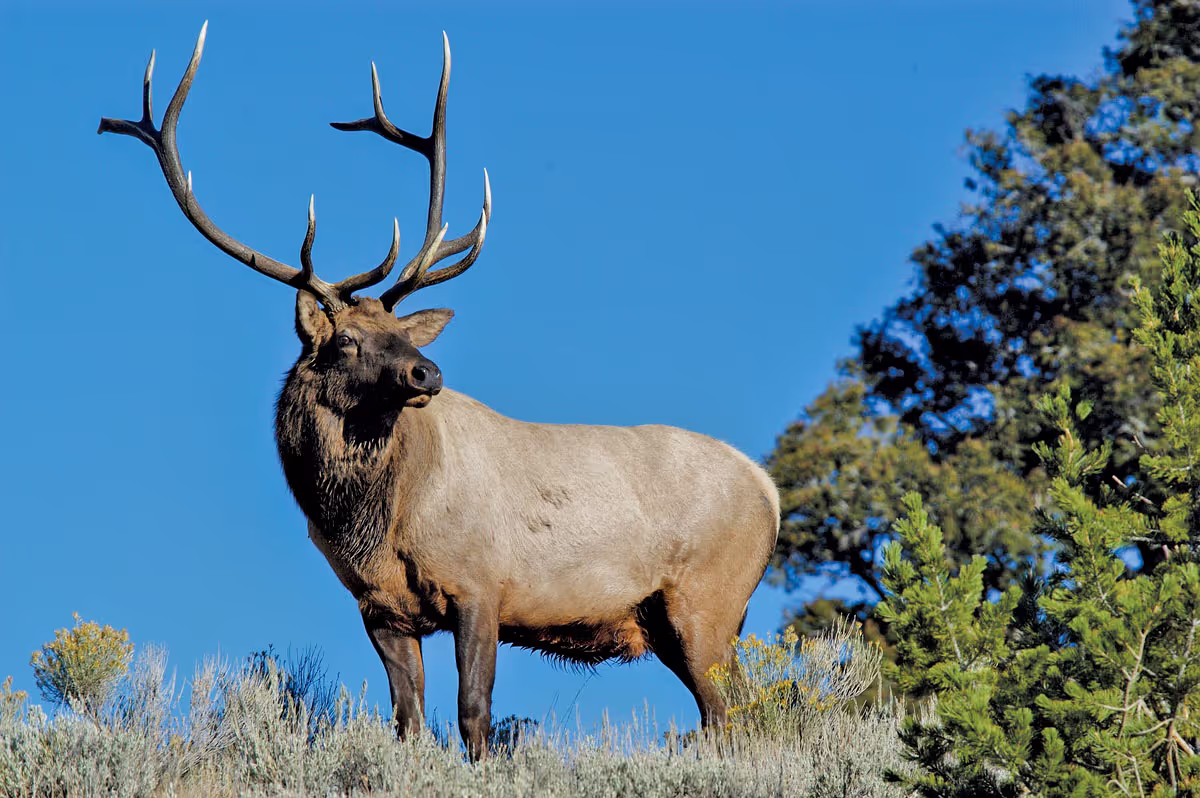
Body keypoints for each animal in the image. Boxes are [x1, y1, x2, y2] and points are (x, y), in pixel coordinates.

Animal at [99, 24, 780, 760]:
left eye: (400, 331)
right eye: (346, 341)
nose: (427, 373)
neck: (372, 526)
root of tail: (769, 489)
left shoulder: (482, 584)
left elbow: (474, 714)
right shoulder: (380, 608)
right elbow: (408, 720)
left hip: (706, 602)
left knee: (735, 715)